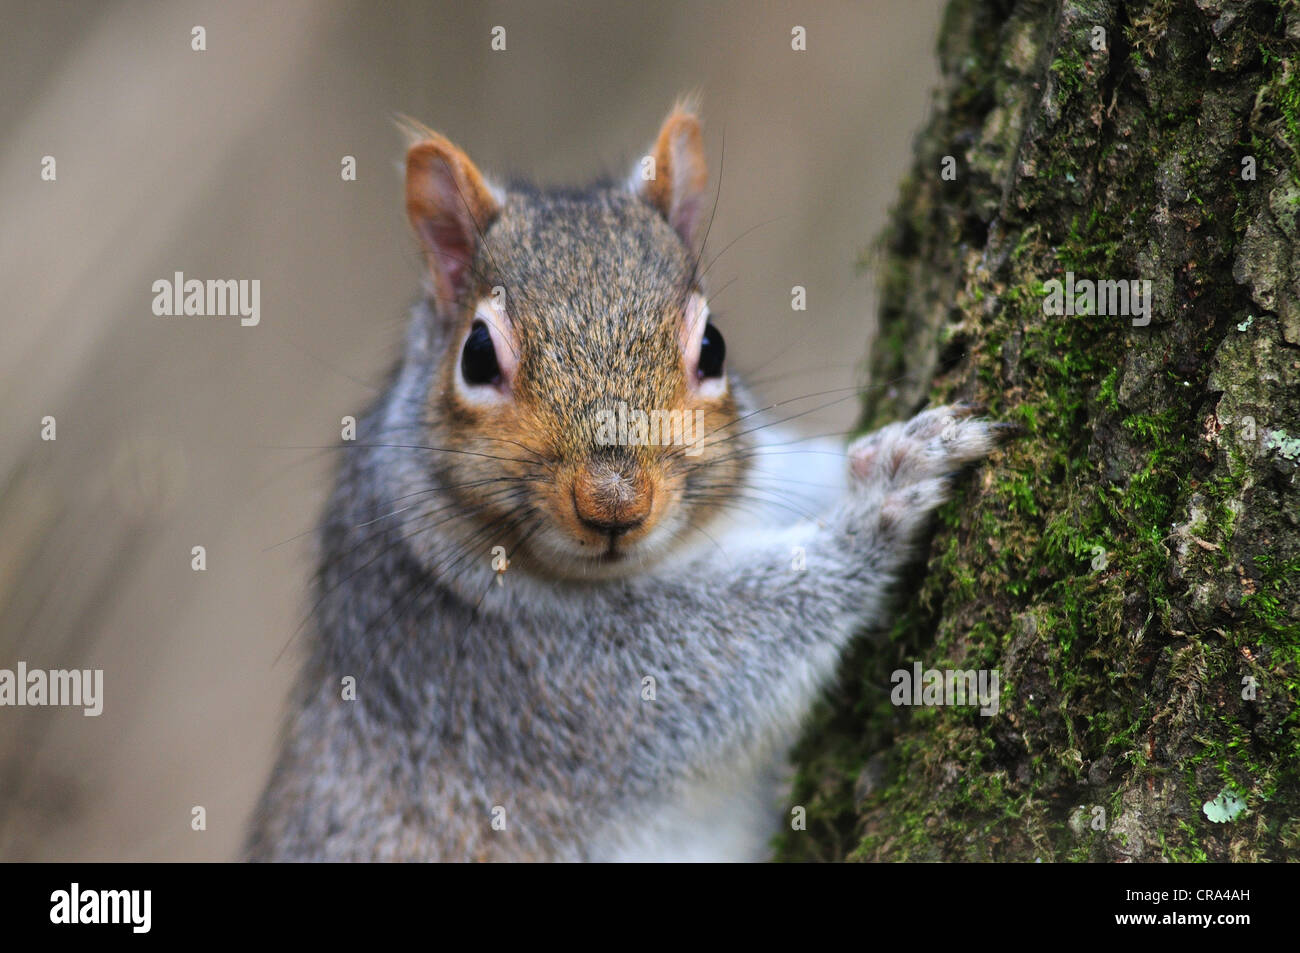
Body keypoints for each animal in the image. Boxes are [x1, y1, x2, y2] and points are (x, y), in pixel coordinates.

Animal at [248, 104, 1008, 863]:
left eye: (713, 347)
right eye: (476, 355)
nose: (614, 501)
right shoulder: (507, 673)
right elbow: (722, 657)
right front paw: (881, 501)